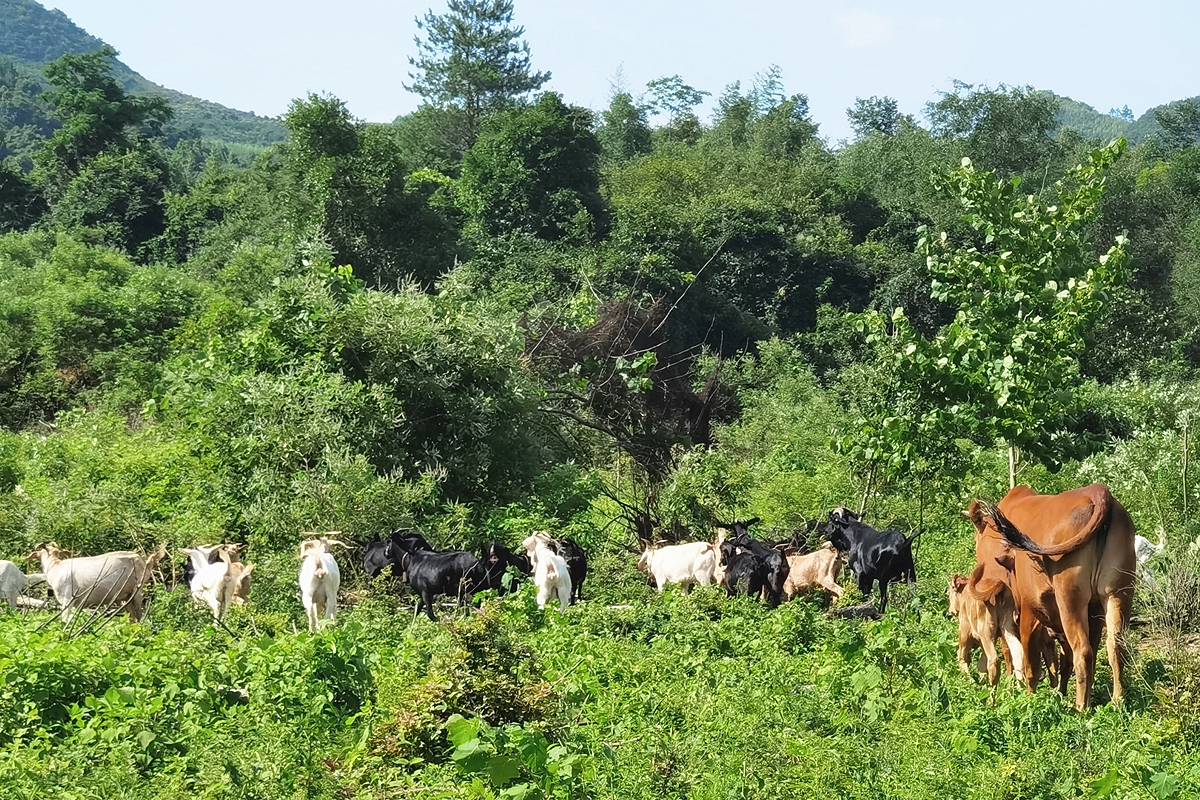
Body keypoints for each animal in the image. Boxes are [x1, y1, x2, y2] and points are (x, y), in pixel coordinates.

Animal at [969, 484, 1128, 710]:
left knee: (1083, 652)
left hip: (1070, 599)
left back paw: (1081, 708)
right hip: (1118, 593)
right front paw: (1059, 693)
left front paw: (1030, 699)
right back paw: (1116, 701)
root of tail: (1096, 490)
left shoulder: (1028, 611)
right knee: (1116, 647)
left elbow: (1030, 664)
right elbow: (1064, 661)